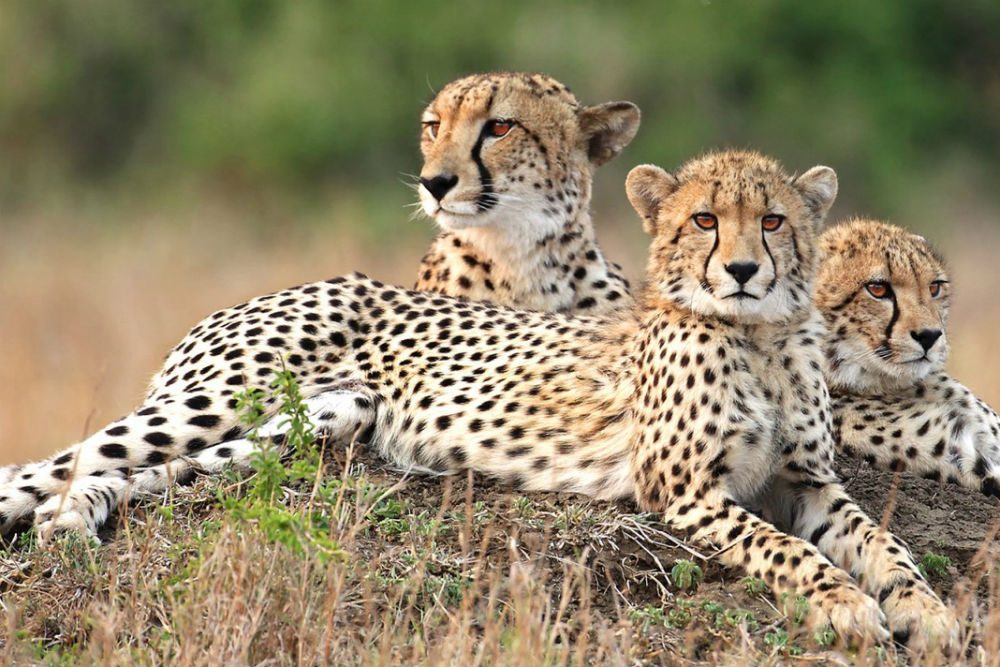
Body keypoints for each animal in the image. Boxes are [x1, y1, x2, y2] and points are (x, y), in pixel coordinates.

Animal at [0, 150, 952, 648]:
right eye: (705, 221)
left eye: (774, 220)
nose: (746, 269)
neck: (757, 335)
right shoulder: (685, 490)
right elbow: (786, 550)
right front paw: (844, 603)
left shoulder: (808, 481)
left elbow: (884, 542)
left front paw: (927, 610)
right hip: (219, 395)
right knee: (50, 465)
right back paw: (55, 517)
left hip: (319, 419)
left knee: (133, 476)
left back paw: (74, 521)